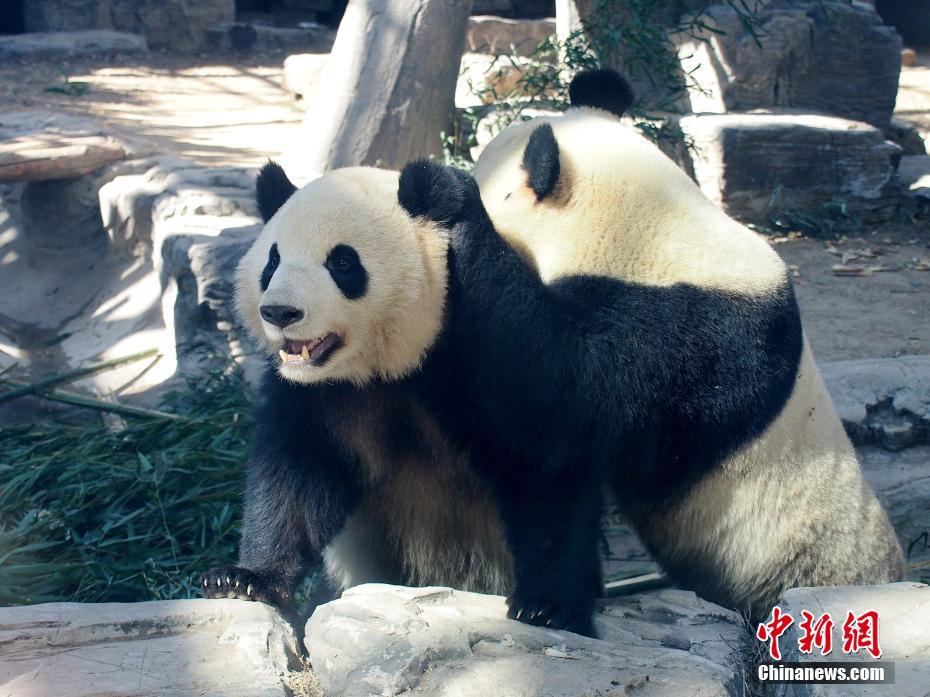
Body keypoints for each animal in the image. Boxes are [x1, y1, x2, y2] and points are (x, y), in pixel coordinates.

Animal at [199, 163, 512, 608]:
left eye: (343, 261)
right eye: (273, 261)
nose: (279, 312)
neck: (384, 367)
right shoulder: (315, 396)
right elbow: (294, 480)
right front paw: (242, 579)